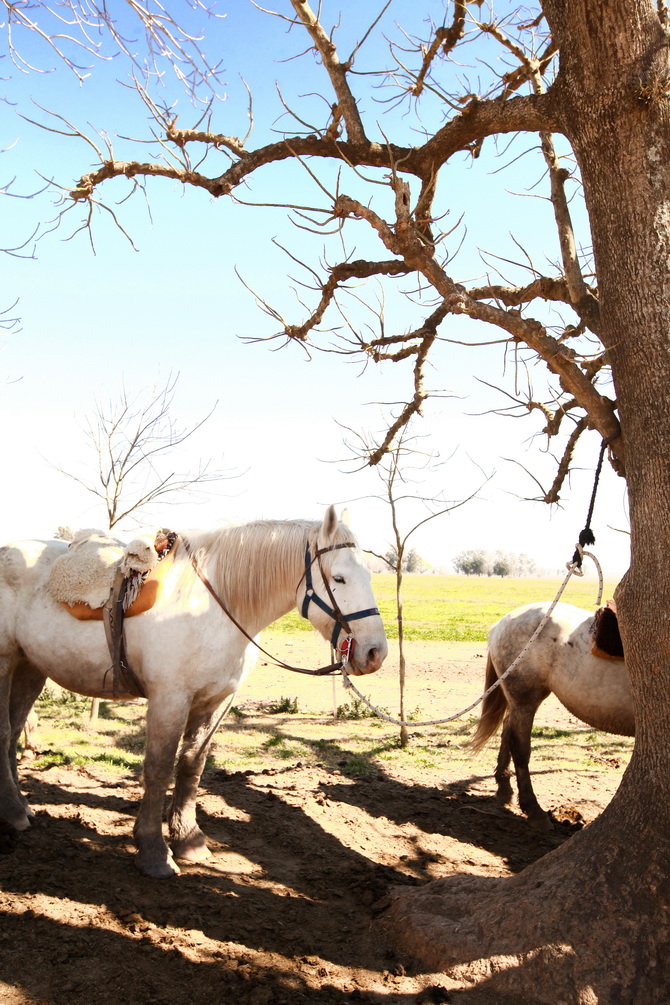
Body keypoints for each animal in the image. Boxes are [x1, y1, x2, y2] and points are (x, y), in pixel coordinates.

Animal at [0, 506, 387, 876]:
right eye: (339, 578)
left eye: (370, 575)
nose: (375, 652)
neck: (213, 605)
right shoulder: (170, 699)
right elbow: (158, 768)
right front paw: (153, 852)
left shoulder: (214, 703)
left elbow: (191, 767)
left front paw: (188, 839)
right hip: (6, 662)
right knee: (5, 731)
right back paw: (13, 813)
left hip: (30, 668)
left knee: (15, 730)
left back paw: (21, 806)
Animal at [470, 598, 630, 828]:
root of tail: (501, 623)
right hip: (525, 697)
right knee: (519, 746)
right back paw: (533, 809)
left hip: (519, 701)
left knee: (507, 732)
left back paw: (504, 789)